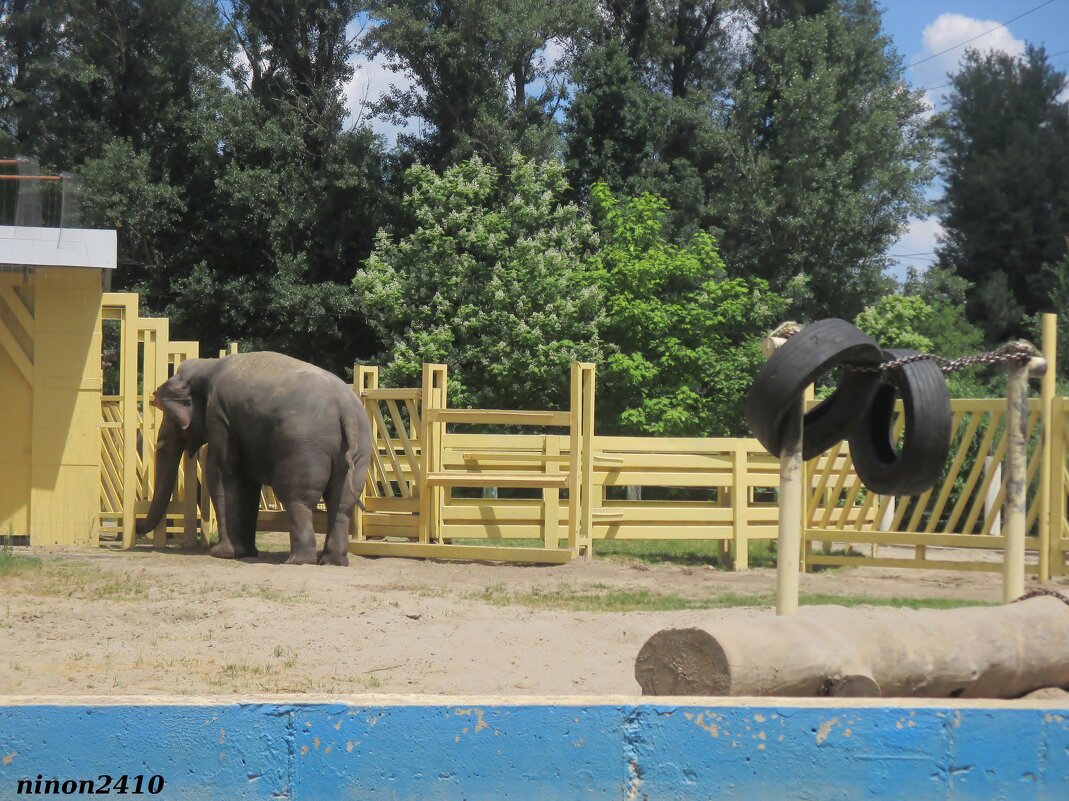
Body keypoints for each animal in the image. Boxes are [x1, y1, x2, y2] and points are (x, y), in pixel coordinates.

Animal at [133, 348, 372, 560]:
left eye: (169, 415)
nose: (137, 526)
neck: (207, 365)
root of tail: (346, 411)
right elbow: (247, 483)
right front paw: (246, 553)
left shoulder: (220, 417)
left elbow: (222, 473)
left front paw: (223, 553)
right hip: (359, 450)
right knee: (341, 503)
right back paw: (333, 561)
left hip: (304, 448)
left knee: (298, 499)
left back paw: (299, 560)